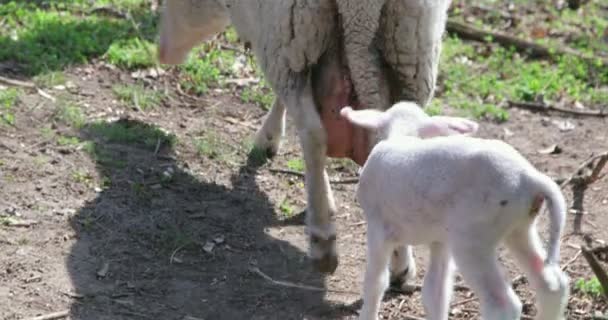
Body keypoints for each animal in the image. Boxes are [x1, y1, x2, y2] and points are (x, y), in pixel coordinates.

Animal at [342, 103, 568, 320]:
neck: (404, 133)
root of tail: (531, 178)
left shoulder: (377, 226)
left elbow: (375, 283)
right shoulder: (440, 239)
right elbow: (435, 293)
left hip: (473, 238)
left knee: (503, 304)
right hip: (519, 227)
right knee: (552, 285)